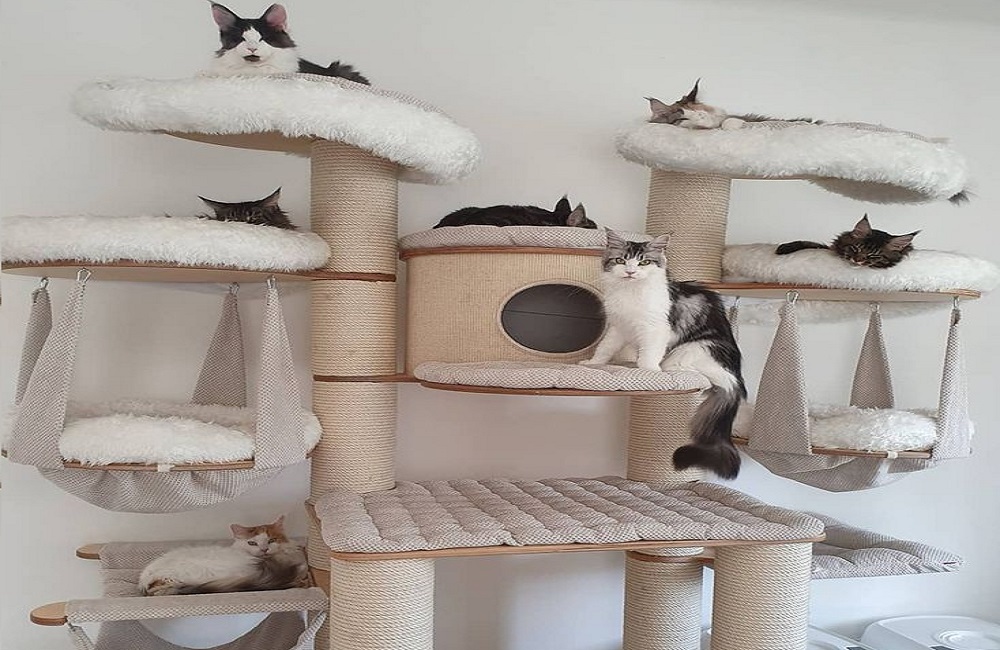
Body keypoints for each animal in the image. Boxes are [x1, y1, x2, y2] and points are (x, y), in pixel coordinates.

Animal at [580, 230, 746, 479]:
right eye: (621, 260)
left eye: (644, 262)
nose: (631, 271)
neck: (630, 293)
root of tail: (736, 377)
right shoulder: (618, 327)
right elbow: (605, 348)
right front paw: (592, 363)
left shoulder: (656, 329)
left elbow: (649, 354)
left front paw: (648, 372)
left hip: (695, 347)